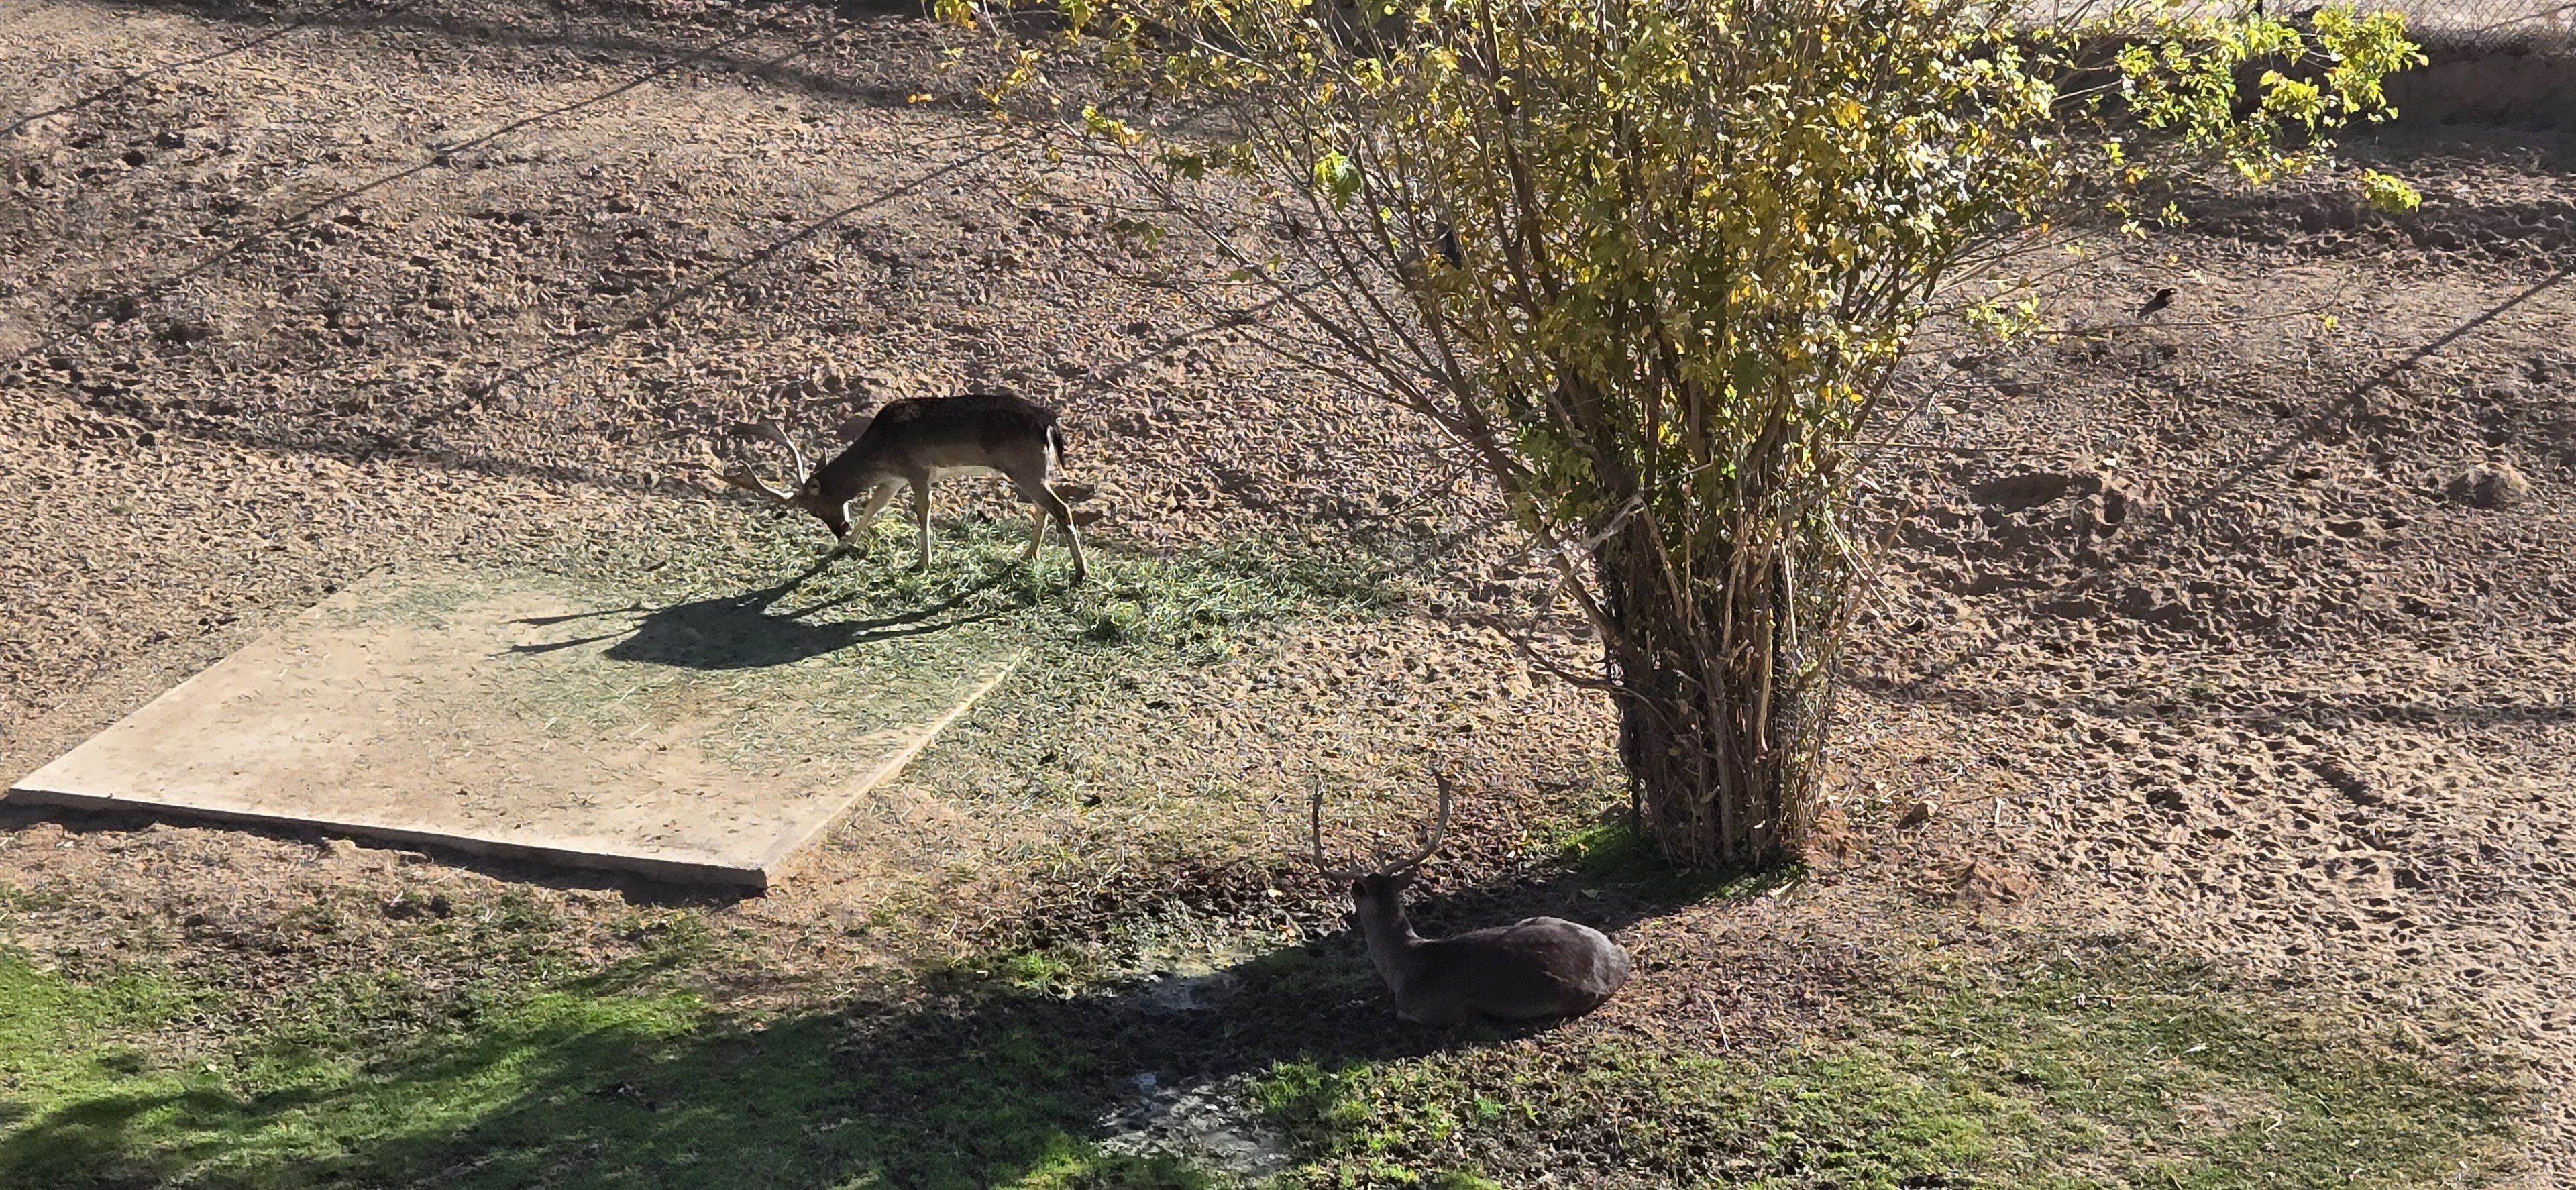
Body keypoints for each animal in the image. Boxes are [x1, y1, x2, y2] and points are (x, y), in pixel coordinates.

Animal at [720, 390, 1087, 584]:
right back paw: (1029, 554)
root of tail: (1049, 424)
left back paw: (1080, 571)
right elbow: (873, 507)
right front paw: (845, 548)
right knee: (1044, 507)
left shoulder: (917, 470)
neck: (881, 450)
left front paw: (923, 562)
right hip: (1034, 470)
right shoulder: (894, 479)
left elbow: (922, 513)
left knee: (1061, 508)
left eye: (815, 509)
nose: (839, 531)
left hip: (1025, 468)